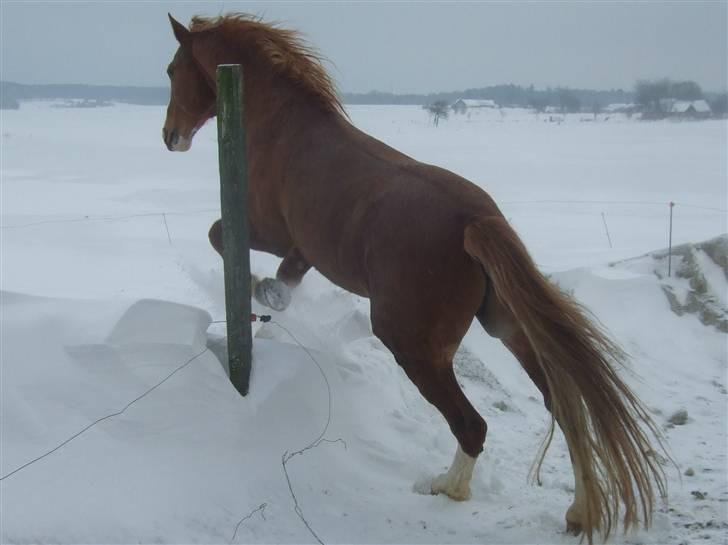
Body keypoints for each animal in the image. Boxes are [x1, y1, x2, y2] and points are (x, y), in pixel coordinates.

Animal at [164, 12, 664, 540]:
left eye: (173, 69)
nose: (170, 135)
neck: (281, 128)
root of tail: (474, 223)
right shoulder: (306, 249)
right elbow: (288, 276)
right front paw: (275, 301)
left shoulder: (269, 231)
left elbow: (220, 237)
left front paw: (263, 292)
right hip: (509, 330)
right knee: (565, 407)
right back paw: (579, 511)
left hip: (414, 346)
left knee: (472, 425)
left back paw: (445, 487)